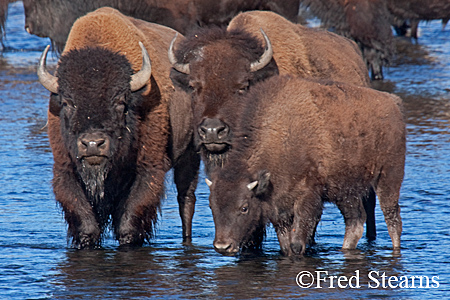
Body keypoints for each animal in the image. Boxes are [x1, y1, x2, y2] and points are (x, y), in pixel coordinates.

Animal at [37, 8, 200, 250]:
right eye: (67, 102)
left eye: (120, 102)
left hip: (190, 154)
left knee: (186, 200)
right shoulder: (65, 170)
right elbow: (86, 224)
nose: (93, 144)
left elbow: (129, 223)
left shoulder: (148, 169)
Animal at [206, 75, 406, 255]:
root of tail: (393, 103)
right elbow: (285, 244)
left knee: (392, 219)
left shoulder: (307, 197)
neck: (280, 137)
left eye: (244, 207)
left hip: (389, 177)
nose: (222, 247)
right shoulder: (280, 207)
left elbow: (296, 242)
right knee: (355, 221)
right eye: (211, 206)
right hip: (345, 191)